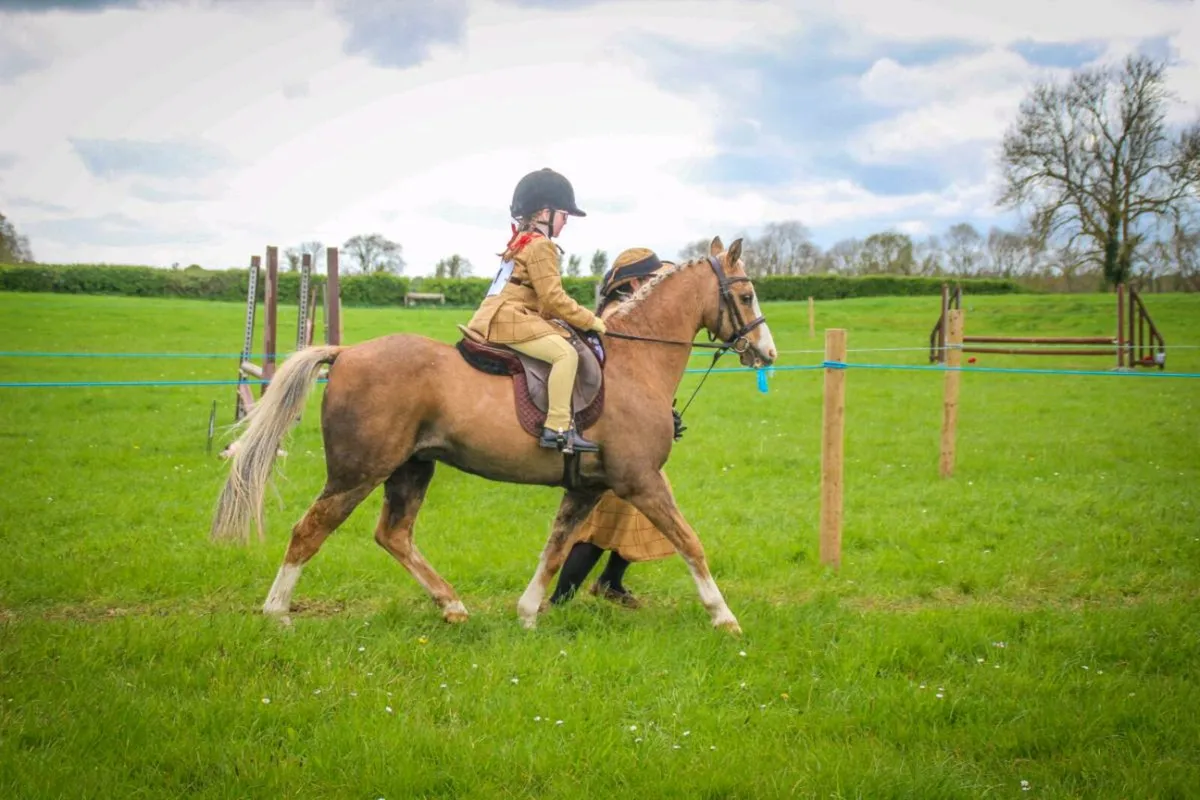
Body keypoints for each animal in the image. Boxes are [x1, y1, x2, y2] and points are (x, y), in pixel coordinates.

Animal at [210, 236, 777, 633]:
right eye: (747, 294)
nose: (767, 353)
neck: (634, 363)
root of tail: (345, 354)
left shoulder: (588, 487)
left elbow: (555, 548)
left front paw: (527, 613)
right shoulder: (640, 482)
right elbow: (690, 542)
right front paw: (724, 617)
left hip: (412, 467)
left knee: (393, 534)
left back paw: (453, 606)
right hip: (358, 471)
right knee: (310, 530)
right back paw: (277, 613)